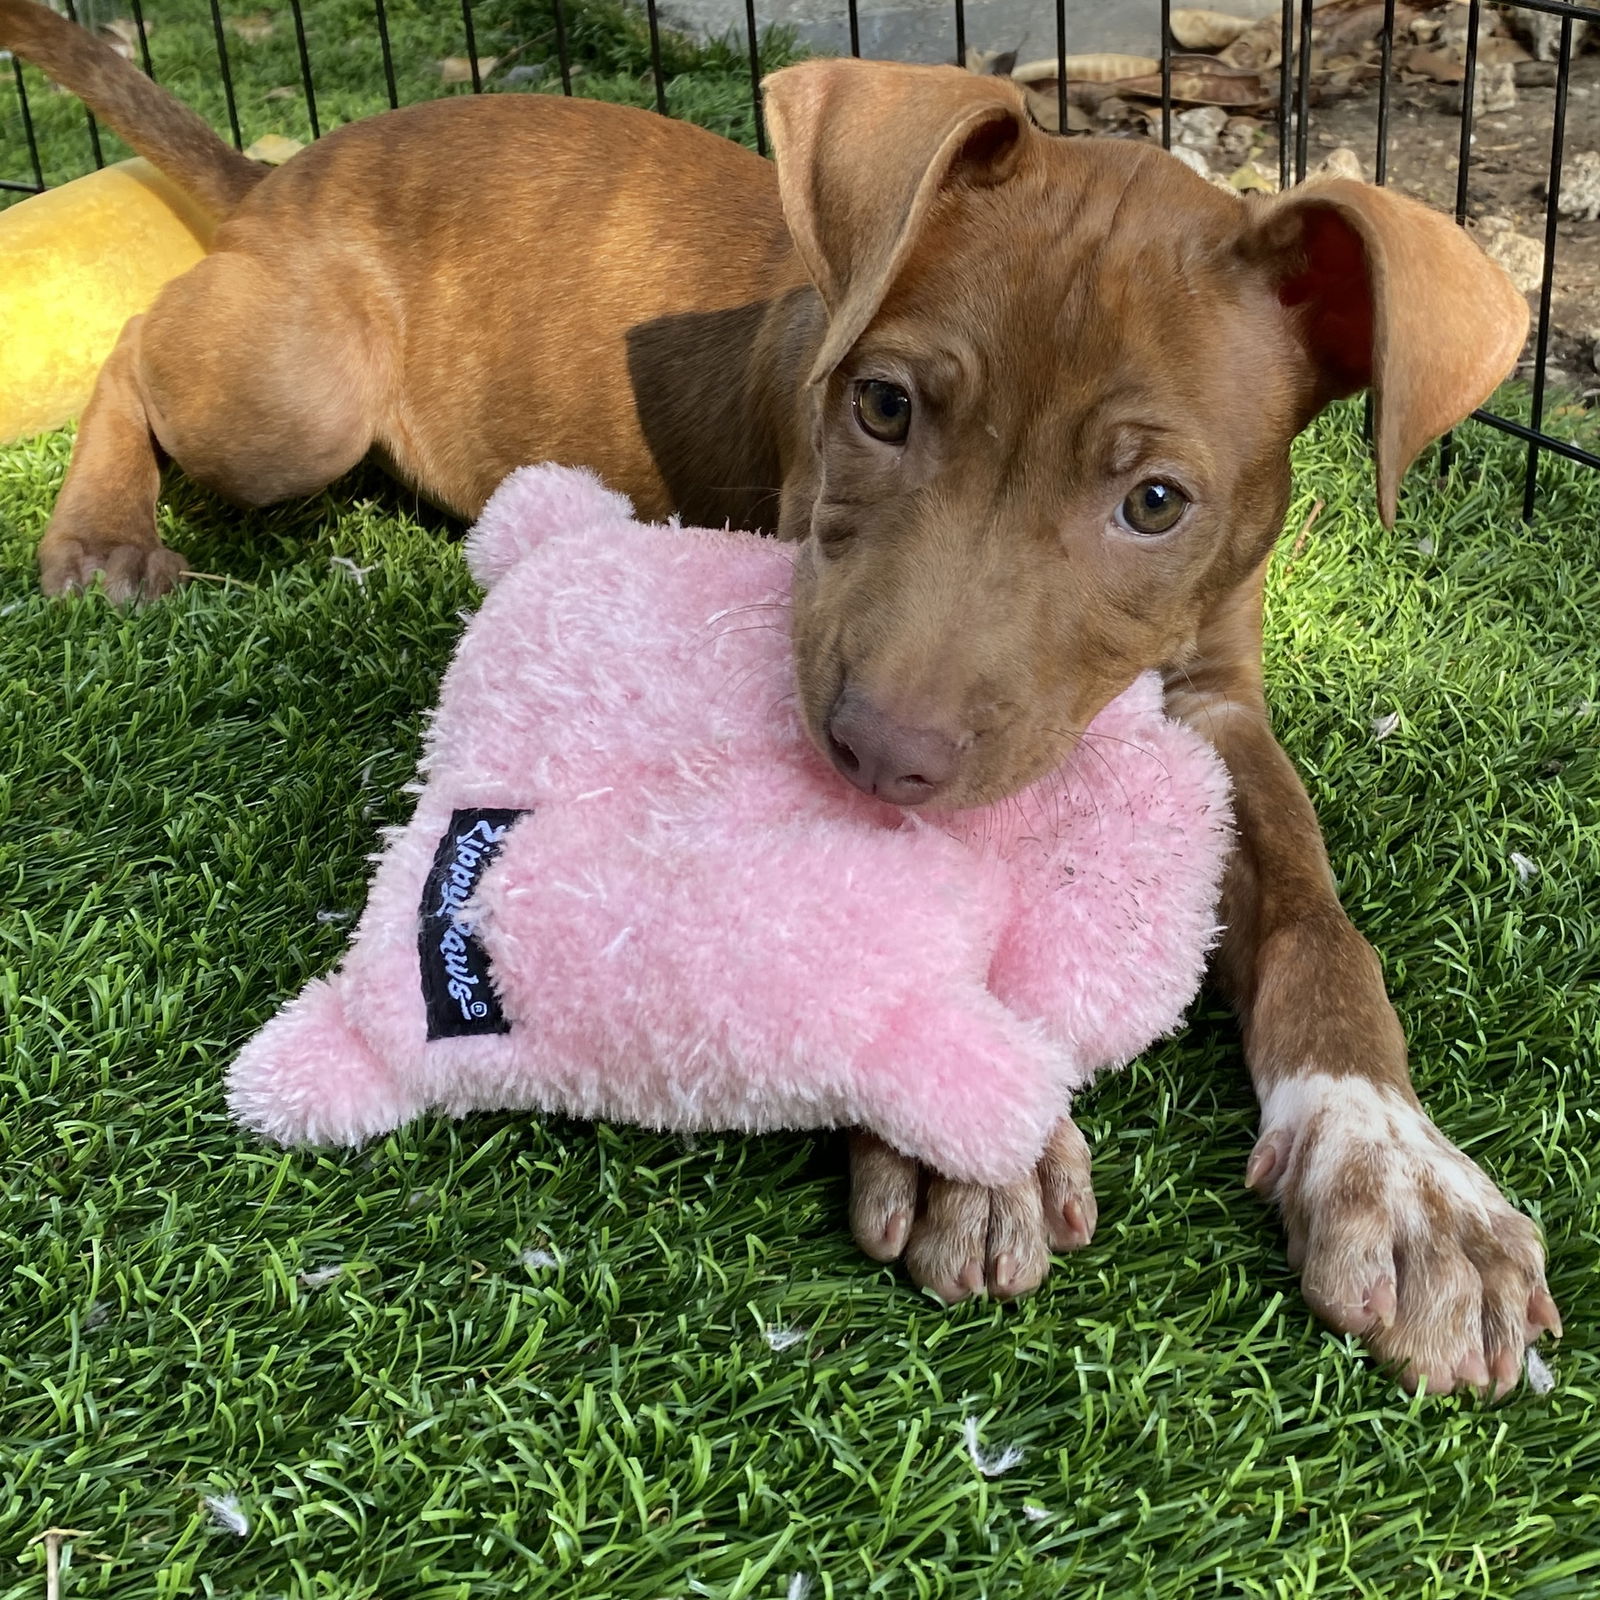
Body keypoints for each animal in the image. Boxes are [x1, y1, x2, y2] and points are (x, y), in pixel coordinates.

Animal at [0, 0, 1548, 1395]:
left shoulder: (1219, 704)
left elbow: (1316, 920)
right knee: (131, 348)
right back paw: (99, 530)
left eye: (1155, 503)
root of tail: (289, 174)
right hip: (294, 400)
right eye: (881, 408)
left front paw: (1401, 1174)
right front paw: (954, 1142)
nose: (881, 754)